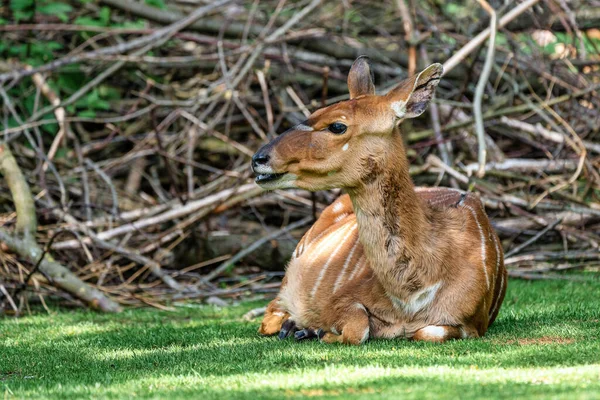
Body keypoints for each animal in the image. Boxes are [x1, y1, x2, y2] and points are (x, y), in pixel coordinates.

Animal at [251, 56, 504, 344]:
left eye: (337, 125)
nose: (259, 158)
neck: (411, 297)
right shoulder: (341, 299)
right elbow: (358, 329)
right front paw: (318, 330)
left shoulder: (472, 323)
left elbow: (429, 331)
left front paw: (317, 331)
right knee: (270, 315)